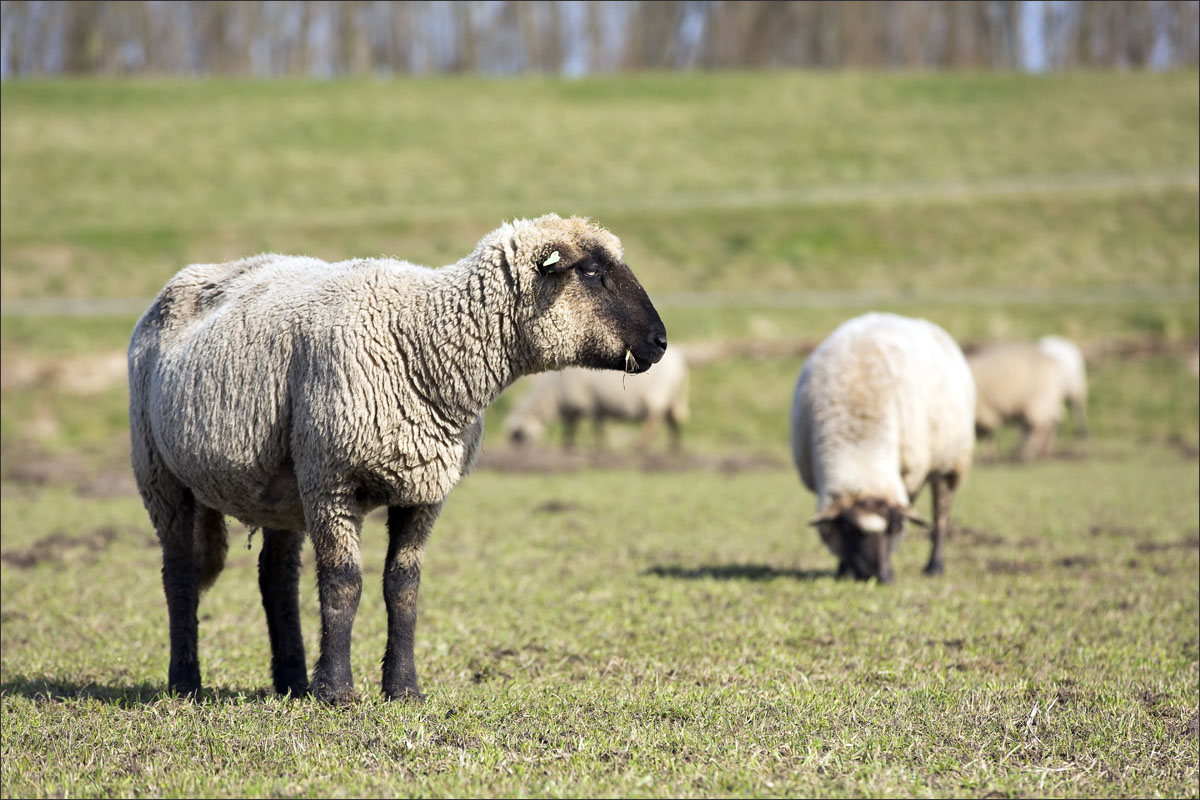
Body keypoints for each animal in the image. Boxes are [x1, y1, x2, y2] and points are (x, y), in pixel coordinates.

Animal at [501, 347, 691, 453]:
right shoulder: (588, 407)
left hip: (656, 397)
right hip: (672, 398)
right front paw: (570, 446)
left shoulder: (587, 405)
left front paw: (595, 447)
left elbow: (589, 428)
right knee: (673, 422)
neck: (552, 395)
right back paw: (675, 449)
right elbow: (578, 427)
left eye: (517, 435)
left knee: (652, 423)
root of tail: (679, 364)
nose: (516, 453)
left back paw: (641, 448)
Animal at [792, 311, 979, 582]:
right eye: (847, 528)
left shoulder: (908, 475)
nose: (877, 576)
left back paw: (935, 565)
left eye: (893, 526)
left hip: (950, 463)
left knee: (941, 514)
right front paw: (843, 569)